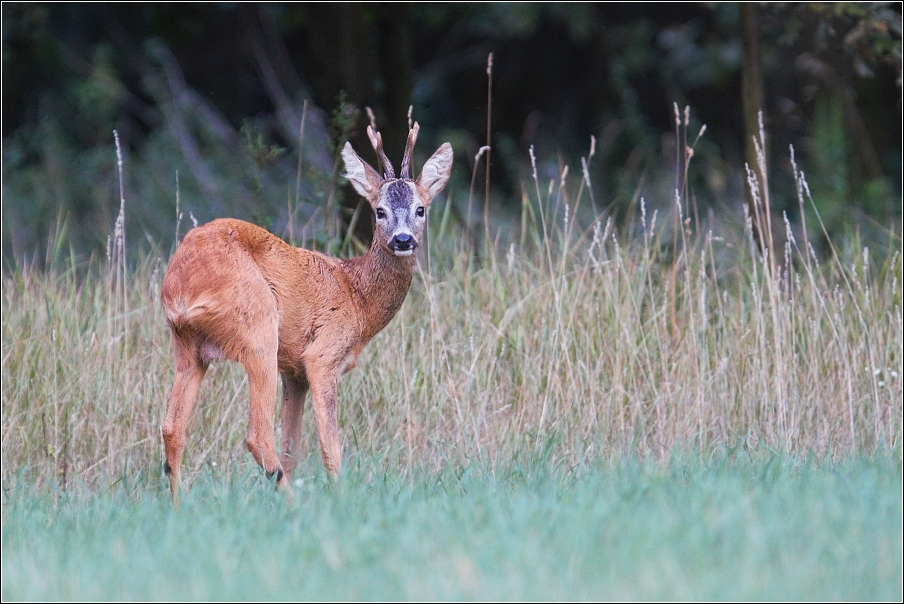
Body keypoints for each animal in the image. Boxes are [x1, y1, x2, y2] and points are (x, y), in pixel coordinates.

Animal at [161, 124, 452, 500]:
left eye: (421, 209)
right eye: (379, 211)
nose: (403, 240)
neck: (357, 296)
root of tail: (181, 285)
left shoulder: (294, 371)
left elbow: (293, 447)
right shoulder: (322, 356)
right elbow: (330, 447)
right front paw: (341, 497)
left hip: (188, 346)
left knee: (172, 427)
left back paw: (178, 505)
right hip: (258, 331)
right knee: (256, 434)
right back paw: (293, 503)